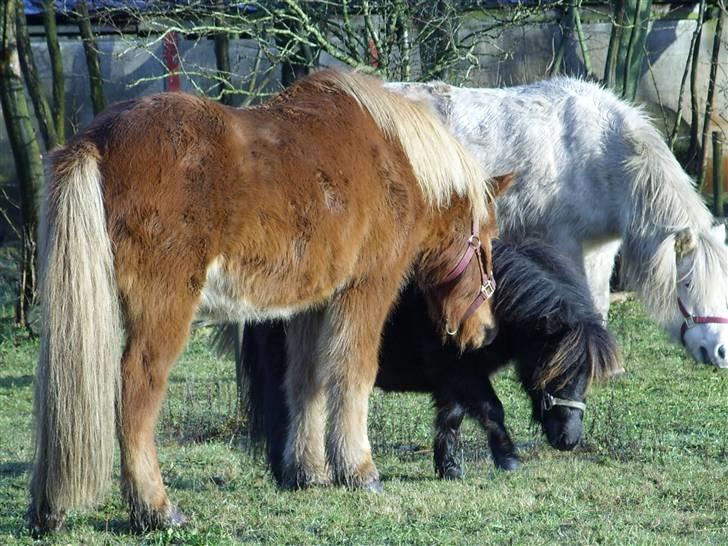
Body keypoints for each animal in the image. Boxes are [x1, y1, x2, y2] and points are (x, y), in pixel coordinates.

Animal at [27, 69, 506, 532]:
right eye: (486, 241)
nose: (485, 331)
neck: (394, 157)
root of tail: (95, 142)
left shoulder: (313, 305)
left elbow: (307, 379)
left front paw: (308, 471)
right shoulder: (366, 289)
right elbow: (354, 372)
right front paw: (359, 470)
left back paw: (49, 510)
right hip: (162, 314)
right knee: (134, 394)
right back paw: (156, 510)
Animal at [225, 238, 624, 480]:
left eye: (587, 375)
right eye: (556, 370)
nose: (569, 439)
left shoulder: (453, 377)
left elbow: (452, 418)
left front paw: (449, 467)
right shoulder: (461, 374)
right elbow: (492, 411)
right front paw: (508, 459)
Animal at [390, 77, 728, 366]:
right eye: (688, 283)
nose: (720, 351)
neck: (603, 156)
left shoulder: (601, 250)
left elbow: (599, 304)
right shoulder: (565, 245)